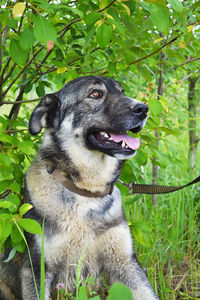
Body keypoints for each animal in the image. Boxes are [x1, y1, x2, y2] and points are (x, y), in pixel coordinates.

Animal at [0, 76, 159, 298]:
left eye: (122, 91)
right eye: (95, 94)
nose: (143, 109)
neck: (86, 191)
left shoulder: (125, 262)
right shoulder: (37, 269)